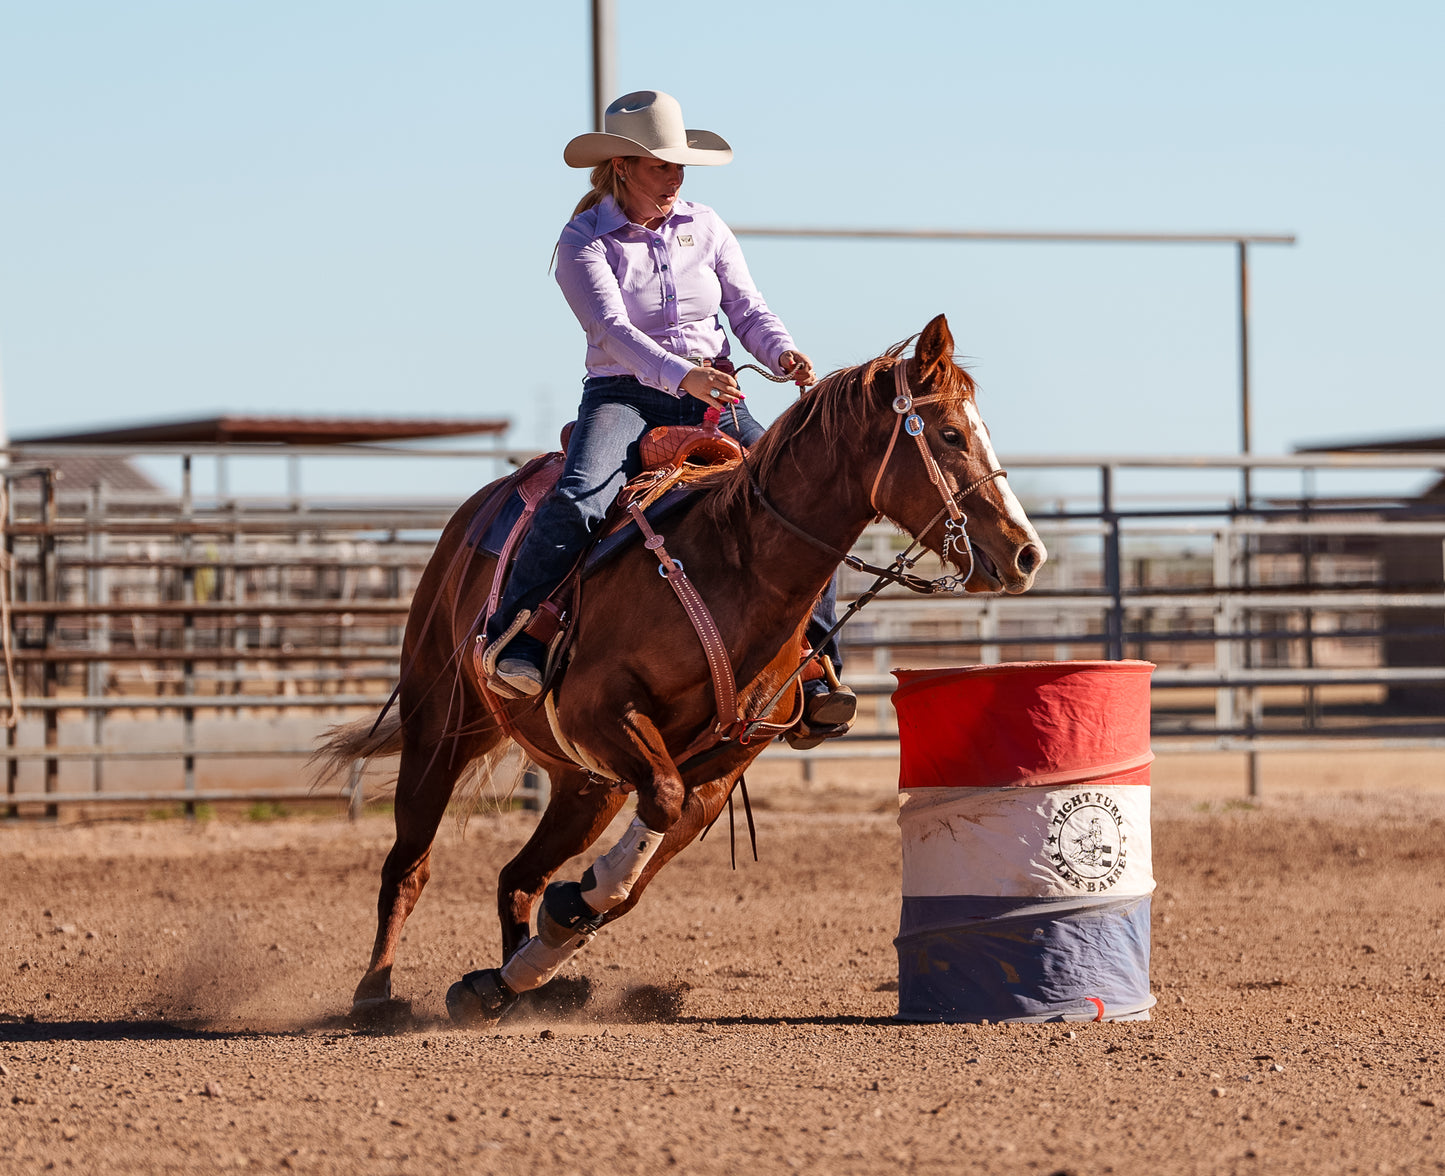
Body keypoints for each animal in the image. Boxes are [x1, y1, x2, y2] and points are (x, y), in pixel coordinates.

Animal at [322, 314, 1046, 1028]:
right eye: (949, 434)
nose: (1026, 554)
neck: (732, 566)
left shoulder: (724, 763)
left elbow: (648, 856)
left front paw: (553, 934)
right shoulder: (602, 711)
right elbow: (657, 811)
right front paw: (571, 911)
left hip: (587, 784)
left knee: (517, 878)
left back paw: (513, 987)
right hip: (441, 726)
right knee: (409, 865)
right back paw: (376, 994)